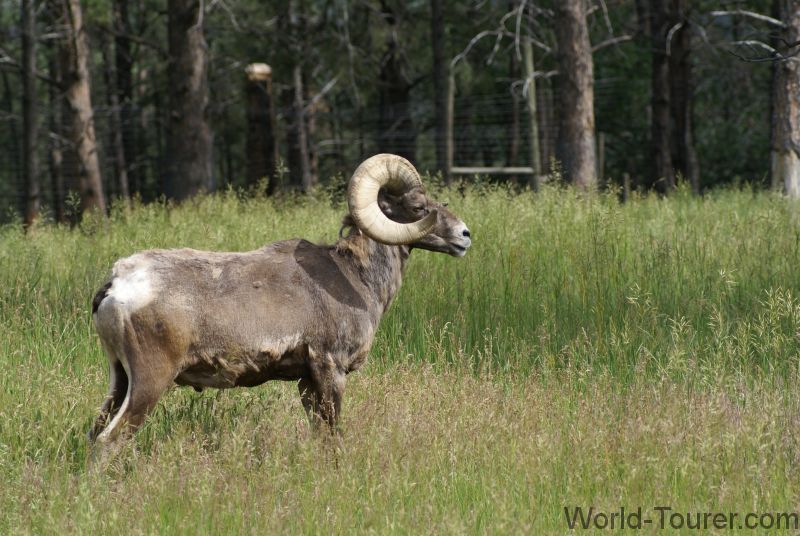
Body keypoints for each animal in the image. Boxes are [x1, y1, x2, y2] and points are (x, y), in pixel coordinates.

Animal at [87, 153, 471, 460]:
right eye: (419, 208)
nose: (465, 235)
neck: (355, 277)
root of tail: (117, 284)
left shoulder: (306, 381)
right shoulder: (329, 369)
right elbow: (333, 436)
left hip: (120, 380)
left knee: (95, 434)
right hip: (150, 383)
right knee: (109, 440)